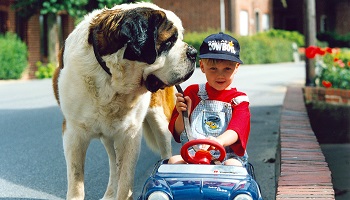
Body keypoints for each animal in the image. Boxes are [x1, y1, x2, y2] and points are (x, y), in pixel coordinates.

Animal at [53, 1, 198, 200]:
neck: (111, 80)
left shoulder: (130, 134)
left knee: (164, 151)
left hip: (159, 119)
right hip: (108, 135)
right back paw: (109, 195)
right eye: (169, 41)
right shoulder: (73, 133)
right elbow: (76, 182)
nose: (194, 52)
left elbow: (126, 178)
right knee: (114, 165)